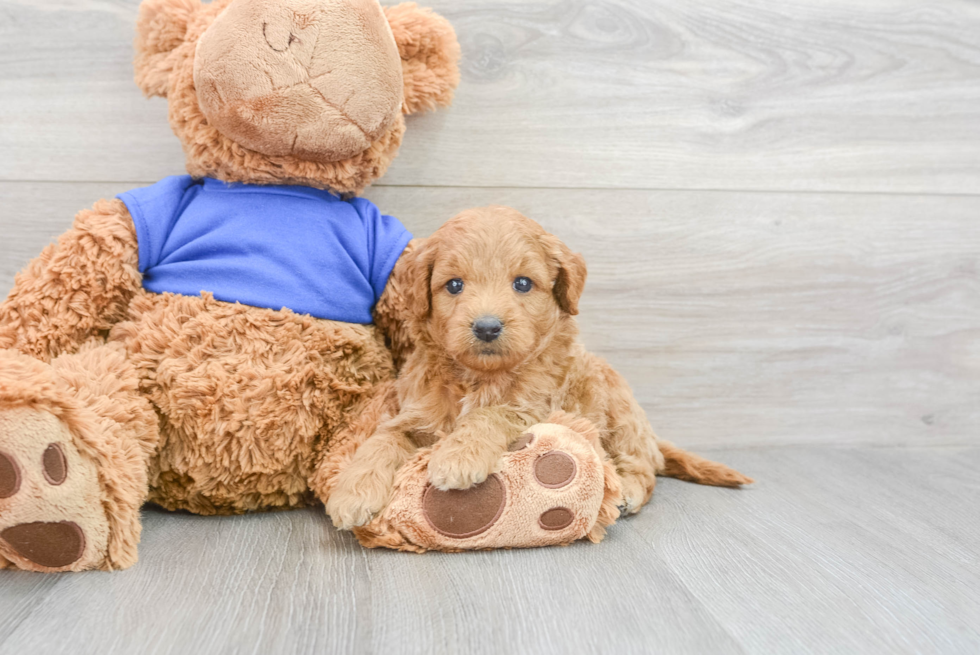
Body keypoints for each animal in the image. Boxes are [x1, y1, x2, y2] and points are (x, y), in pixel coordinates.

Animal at [328, 208, 752, 532]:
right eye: (454, 285)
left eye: (522, 283)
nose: (487, 327)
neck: (481, 376)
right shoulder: (413, 413)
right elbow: (381, 441)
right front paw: (351, 493)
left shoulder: (534, 408)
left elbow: (489, 415)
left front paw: (458, 457)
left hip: (620, 411)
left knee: (643, 466)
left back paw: (628, 491)